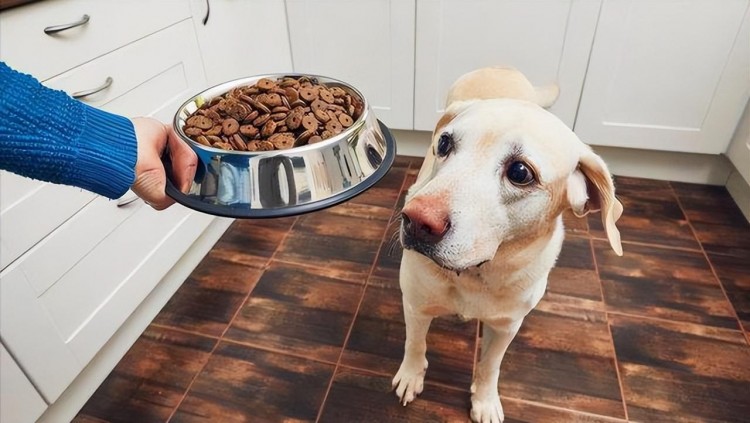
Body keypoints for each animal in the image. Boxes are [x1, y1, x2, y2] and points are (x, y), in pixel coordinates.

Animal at [390, 67, 624, 423]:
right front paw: (410, 376)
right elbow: (415, 344)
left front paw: (485, 401)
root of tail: (501, 67)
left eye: (520, 172)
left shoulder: (506, 326)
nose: (416, 220)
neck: (476, 274)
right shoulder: (416, 305)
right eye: (444, 143)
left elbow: (490, 366)